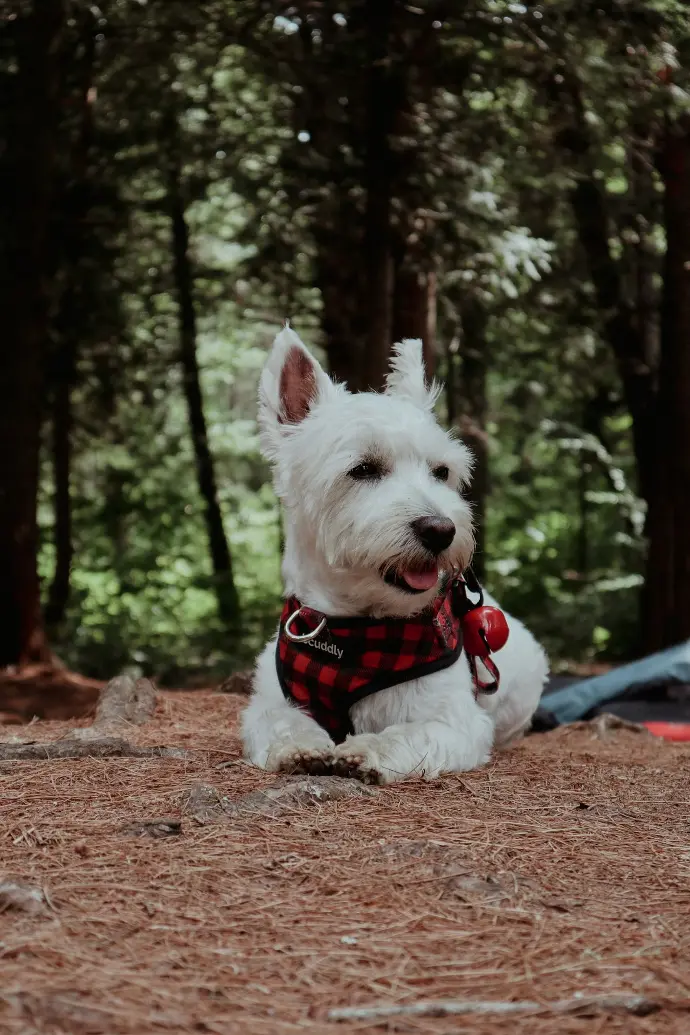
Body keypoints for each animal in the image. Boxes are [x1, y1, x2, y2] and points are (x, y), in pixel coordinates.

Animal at [239, 327, 546, 778]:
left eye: (441, 471)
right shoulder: (270, 703)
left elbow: (406, 733)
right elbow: (282, 722)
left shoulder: (454, 720)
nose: (441, 530)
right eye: (364, 469)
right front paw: (300, 747)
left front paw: (364, 750)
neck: (355, 632)